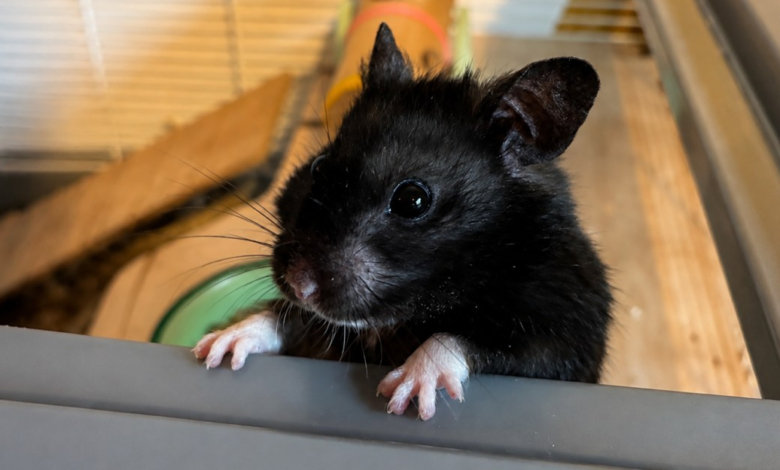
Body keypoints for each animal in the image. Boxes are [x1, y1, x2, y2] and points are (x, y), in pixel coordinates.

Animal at [194, 23, 613, 421]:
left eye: (412, 201)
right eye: (318, 168)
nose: (301, 286)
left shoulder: (563, 339)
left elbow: (462, 340)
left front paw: (402, 397)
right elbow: (285, 318)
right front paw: (217, 349)